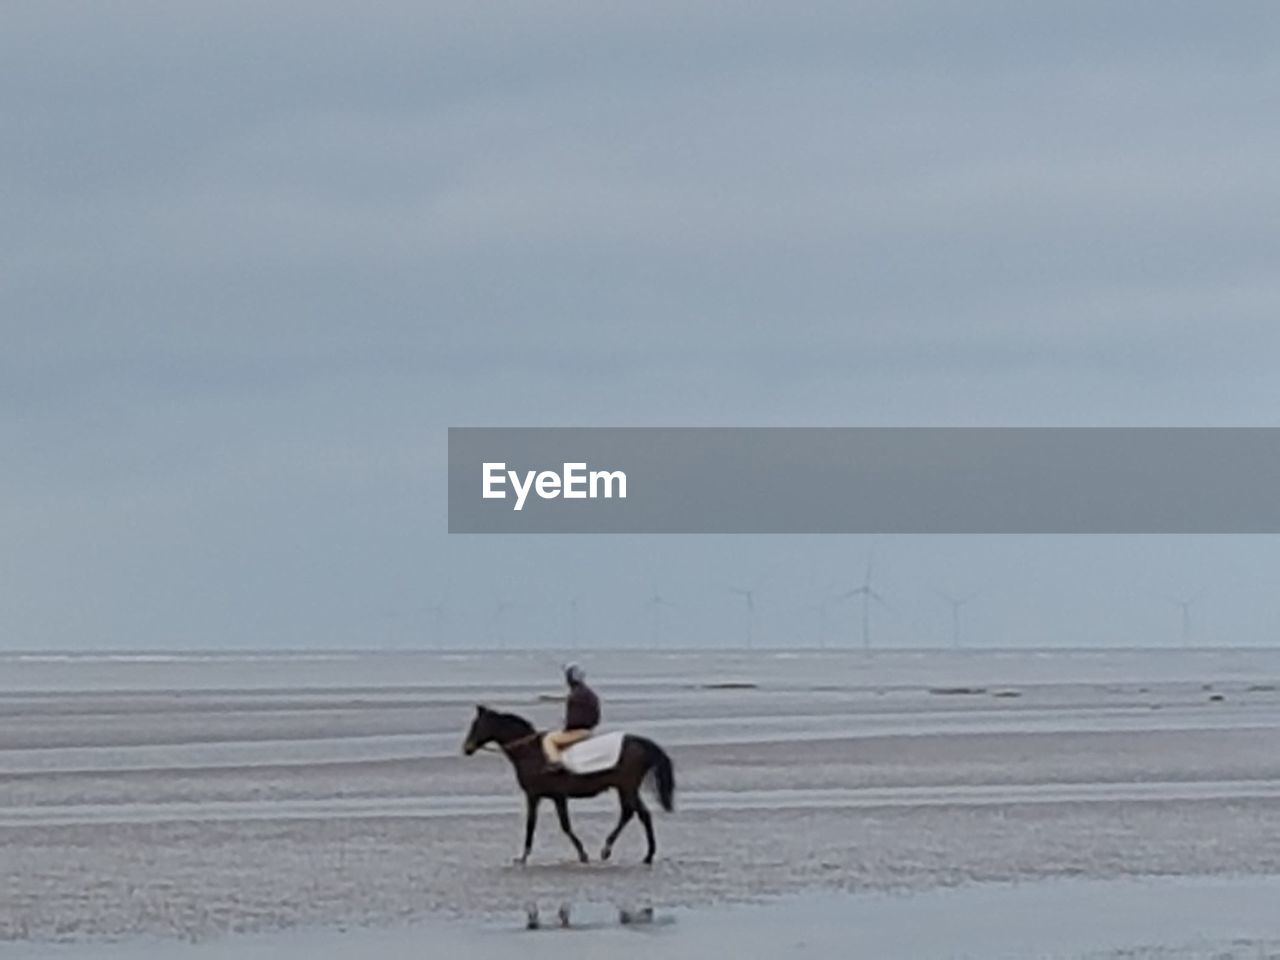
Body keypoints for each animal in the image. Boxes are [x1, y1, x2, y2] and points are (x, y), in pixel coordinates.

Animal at [463, 701, 680, 870]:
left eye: (476, 725)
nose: (467, 748)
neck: (531, 753)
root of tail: (640, 741)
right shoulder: (552, 797)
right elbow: (557, 825)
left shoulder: (539, 796)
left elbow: (541, 825)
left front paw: (524, 858)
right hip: (625, 788)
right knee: (634, 813)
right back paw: (620, 851)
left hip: (627, 787)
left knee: (638, 814)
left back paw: (633, 853)